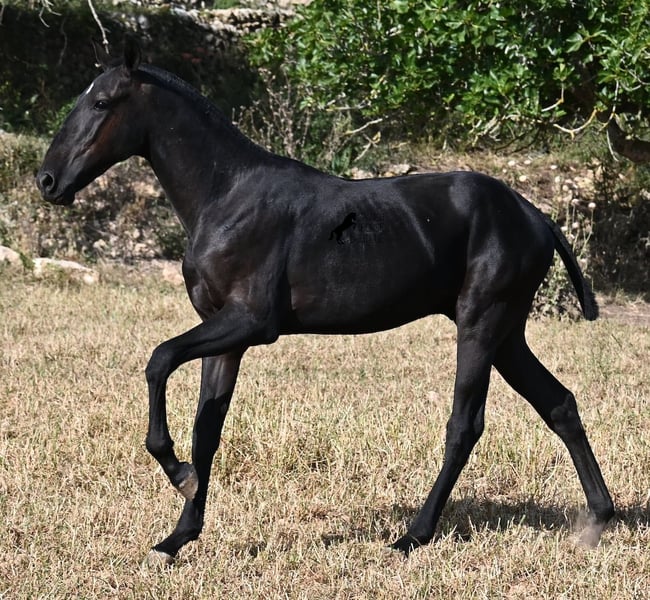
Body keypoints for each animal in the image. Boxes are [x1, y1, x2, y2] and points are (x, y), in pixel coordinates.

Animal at [36, 40, 614, 565]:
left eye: (101, 103)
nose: (47, 180)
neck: (227, 197)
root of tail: (537, 217)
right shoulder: (224, 336)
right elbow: (207, 430)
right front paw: (177, 536)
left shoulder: (250, 323)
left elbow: (158, 362)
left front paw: (178, 474)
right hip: (506, 333)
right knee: (559, 403)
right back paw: (599, 519)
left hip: (481, 324)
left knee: (465, 425)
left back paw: (413, 536)